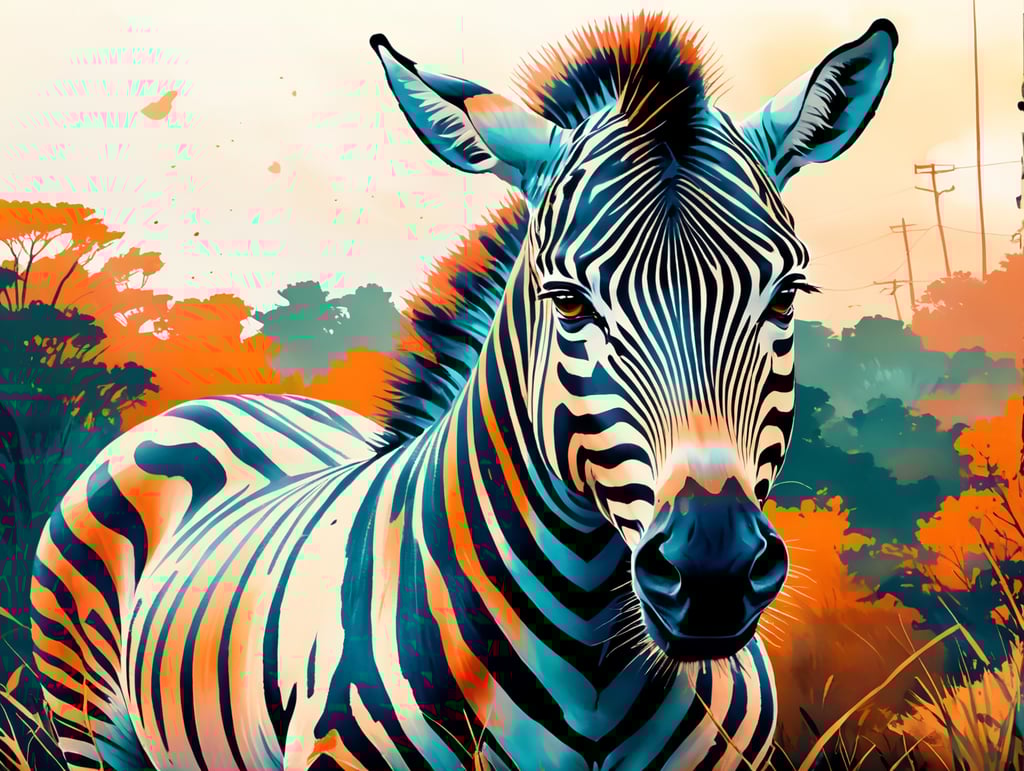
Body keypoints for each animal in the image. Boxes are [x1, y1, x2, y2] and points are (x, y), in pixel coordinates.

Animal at [31, 13, 897, 771]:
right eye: (568, 303)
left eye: (786, 296)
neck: (595, 666)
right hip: (88, 729)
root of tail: (219, 403)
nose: (712, 572)